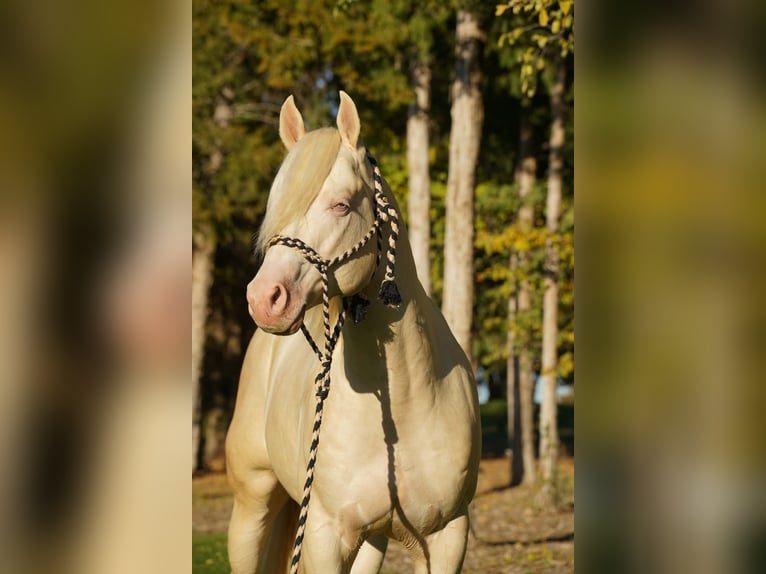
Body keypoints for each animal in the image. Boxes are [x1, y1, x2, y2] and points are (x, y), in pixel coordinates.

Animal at [226, 91, 481, 574]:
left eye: (341, 204)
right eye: (276, 206)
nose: (263, 298)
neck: (406, 398)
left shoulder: (447, 537)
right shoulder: (324, 537)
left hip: (371, 542)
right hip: (252, 504)